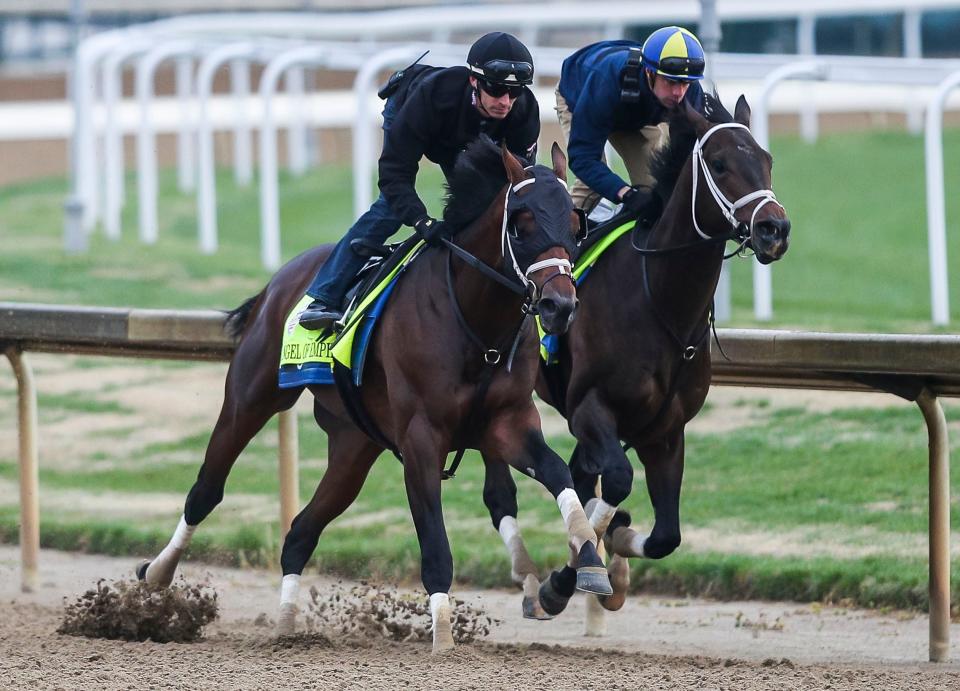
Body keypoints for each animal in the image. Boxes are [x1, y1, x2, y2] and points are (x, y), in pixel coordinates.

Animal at [138, 139, 612, 656]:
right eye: (522, 222)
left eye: (576, 225)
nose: (559, 306)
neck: (475, 322)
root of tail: (279, 280)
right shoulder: (422, 438)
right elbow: (434, 541)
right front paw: (443, 636)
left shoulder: (508, 422)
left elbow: (557, 472)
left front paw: (588, 559)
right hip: (252, 397)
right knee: (207, 489)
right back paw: (158, 574)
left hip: (353, 446)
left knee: (301, 531)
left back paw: (286, 626)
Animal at [484, 93, 792, 616]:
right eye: (719, 163)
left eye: (767, 160)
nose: (775, 228)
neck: (659, 303)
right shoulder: (590, 408)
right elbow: (615, 480)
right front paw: (566, 579)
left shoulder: (664, 430)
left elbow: (665, 534)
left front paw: (616, 547)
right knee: (501, 489)